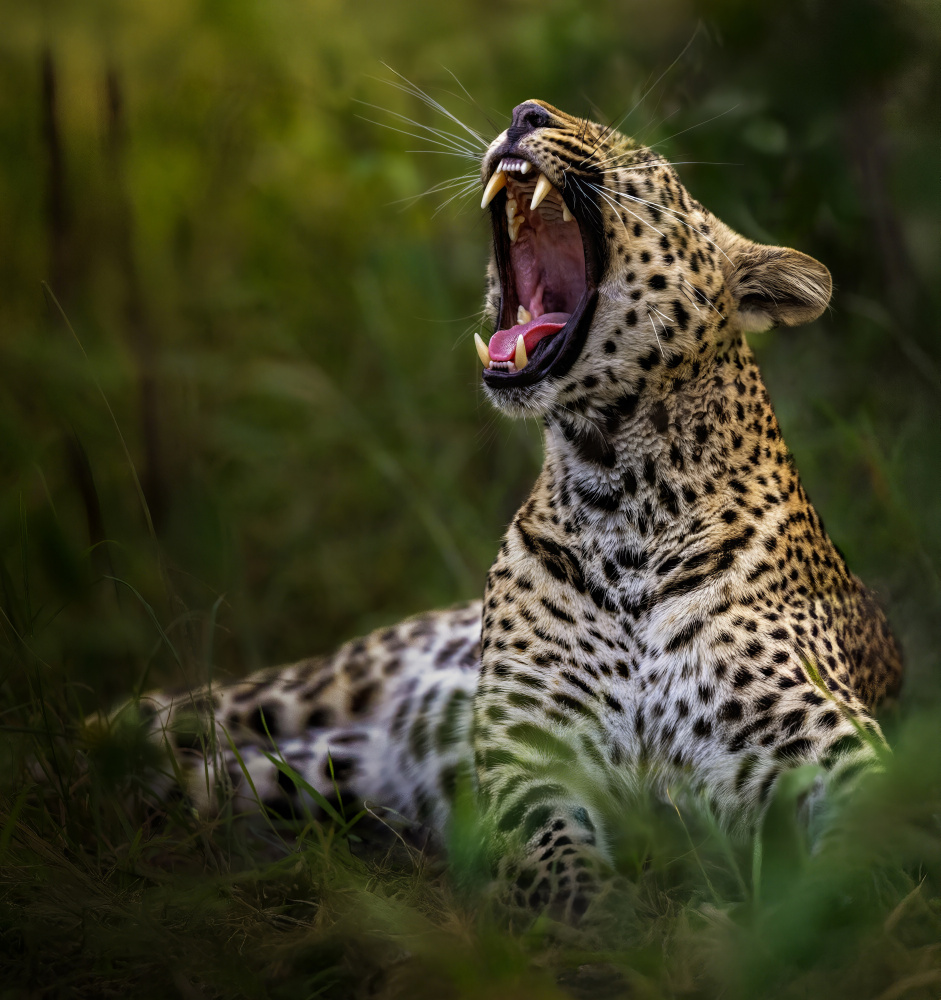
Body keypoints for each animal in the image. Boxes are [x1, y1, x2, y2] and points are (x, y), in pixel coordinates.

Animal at [82, 98, 902, 923]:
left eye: (638, 159)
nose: (524, 112)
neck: (618, 488)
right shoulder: (528, 760)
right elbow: (558, 863)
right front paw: (604, 918)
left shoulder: (829, 746)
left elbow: (867, 856)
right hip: (302, 691)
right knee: (143, 718)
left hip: (293, 774)